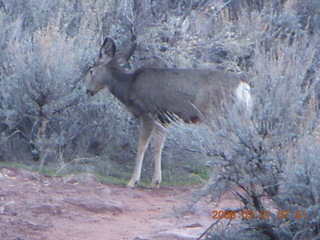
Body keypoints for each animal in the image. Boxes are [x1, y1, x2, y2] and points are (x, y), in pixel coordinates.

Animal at [85, 37, 252, 188]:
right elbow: (158, 146)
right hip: (240, 117)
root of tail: (243, 86)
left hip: (215, 114)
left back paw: (212, 182)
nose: (88, 90)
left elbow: (142, 146)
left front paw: (133, 181)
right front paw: (156, 180)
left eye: (91, 71)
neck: (128, 87)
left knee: (227, 146)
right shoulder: (164, 119)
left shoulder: (148, 113)